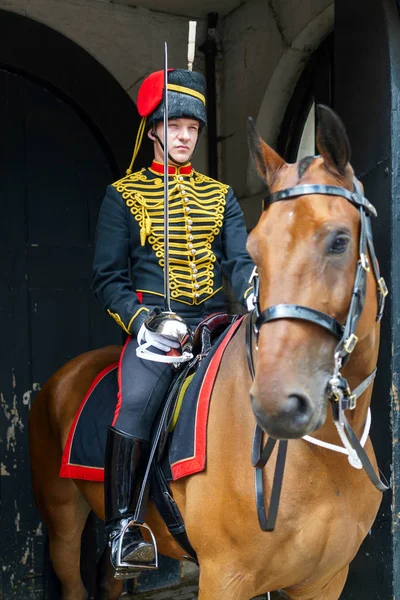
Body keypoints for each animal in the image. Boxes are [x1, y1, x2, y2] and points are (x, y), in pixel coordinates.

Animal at [28, 104, 388, 600]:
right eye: (256, 246)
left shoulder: (326, 581)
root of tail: (63, 377)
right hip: (62, 519)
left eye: (338, 240)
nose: (277, 404)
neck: (320, 460)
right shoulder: (224, 576)